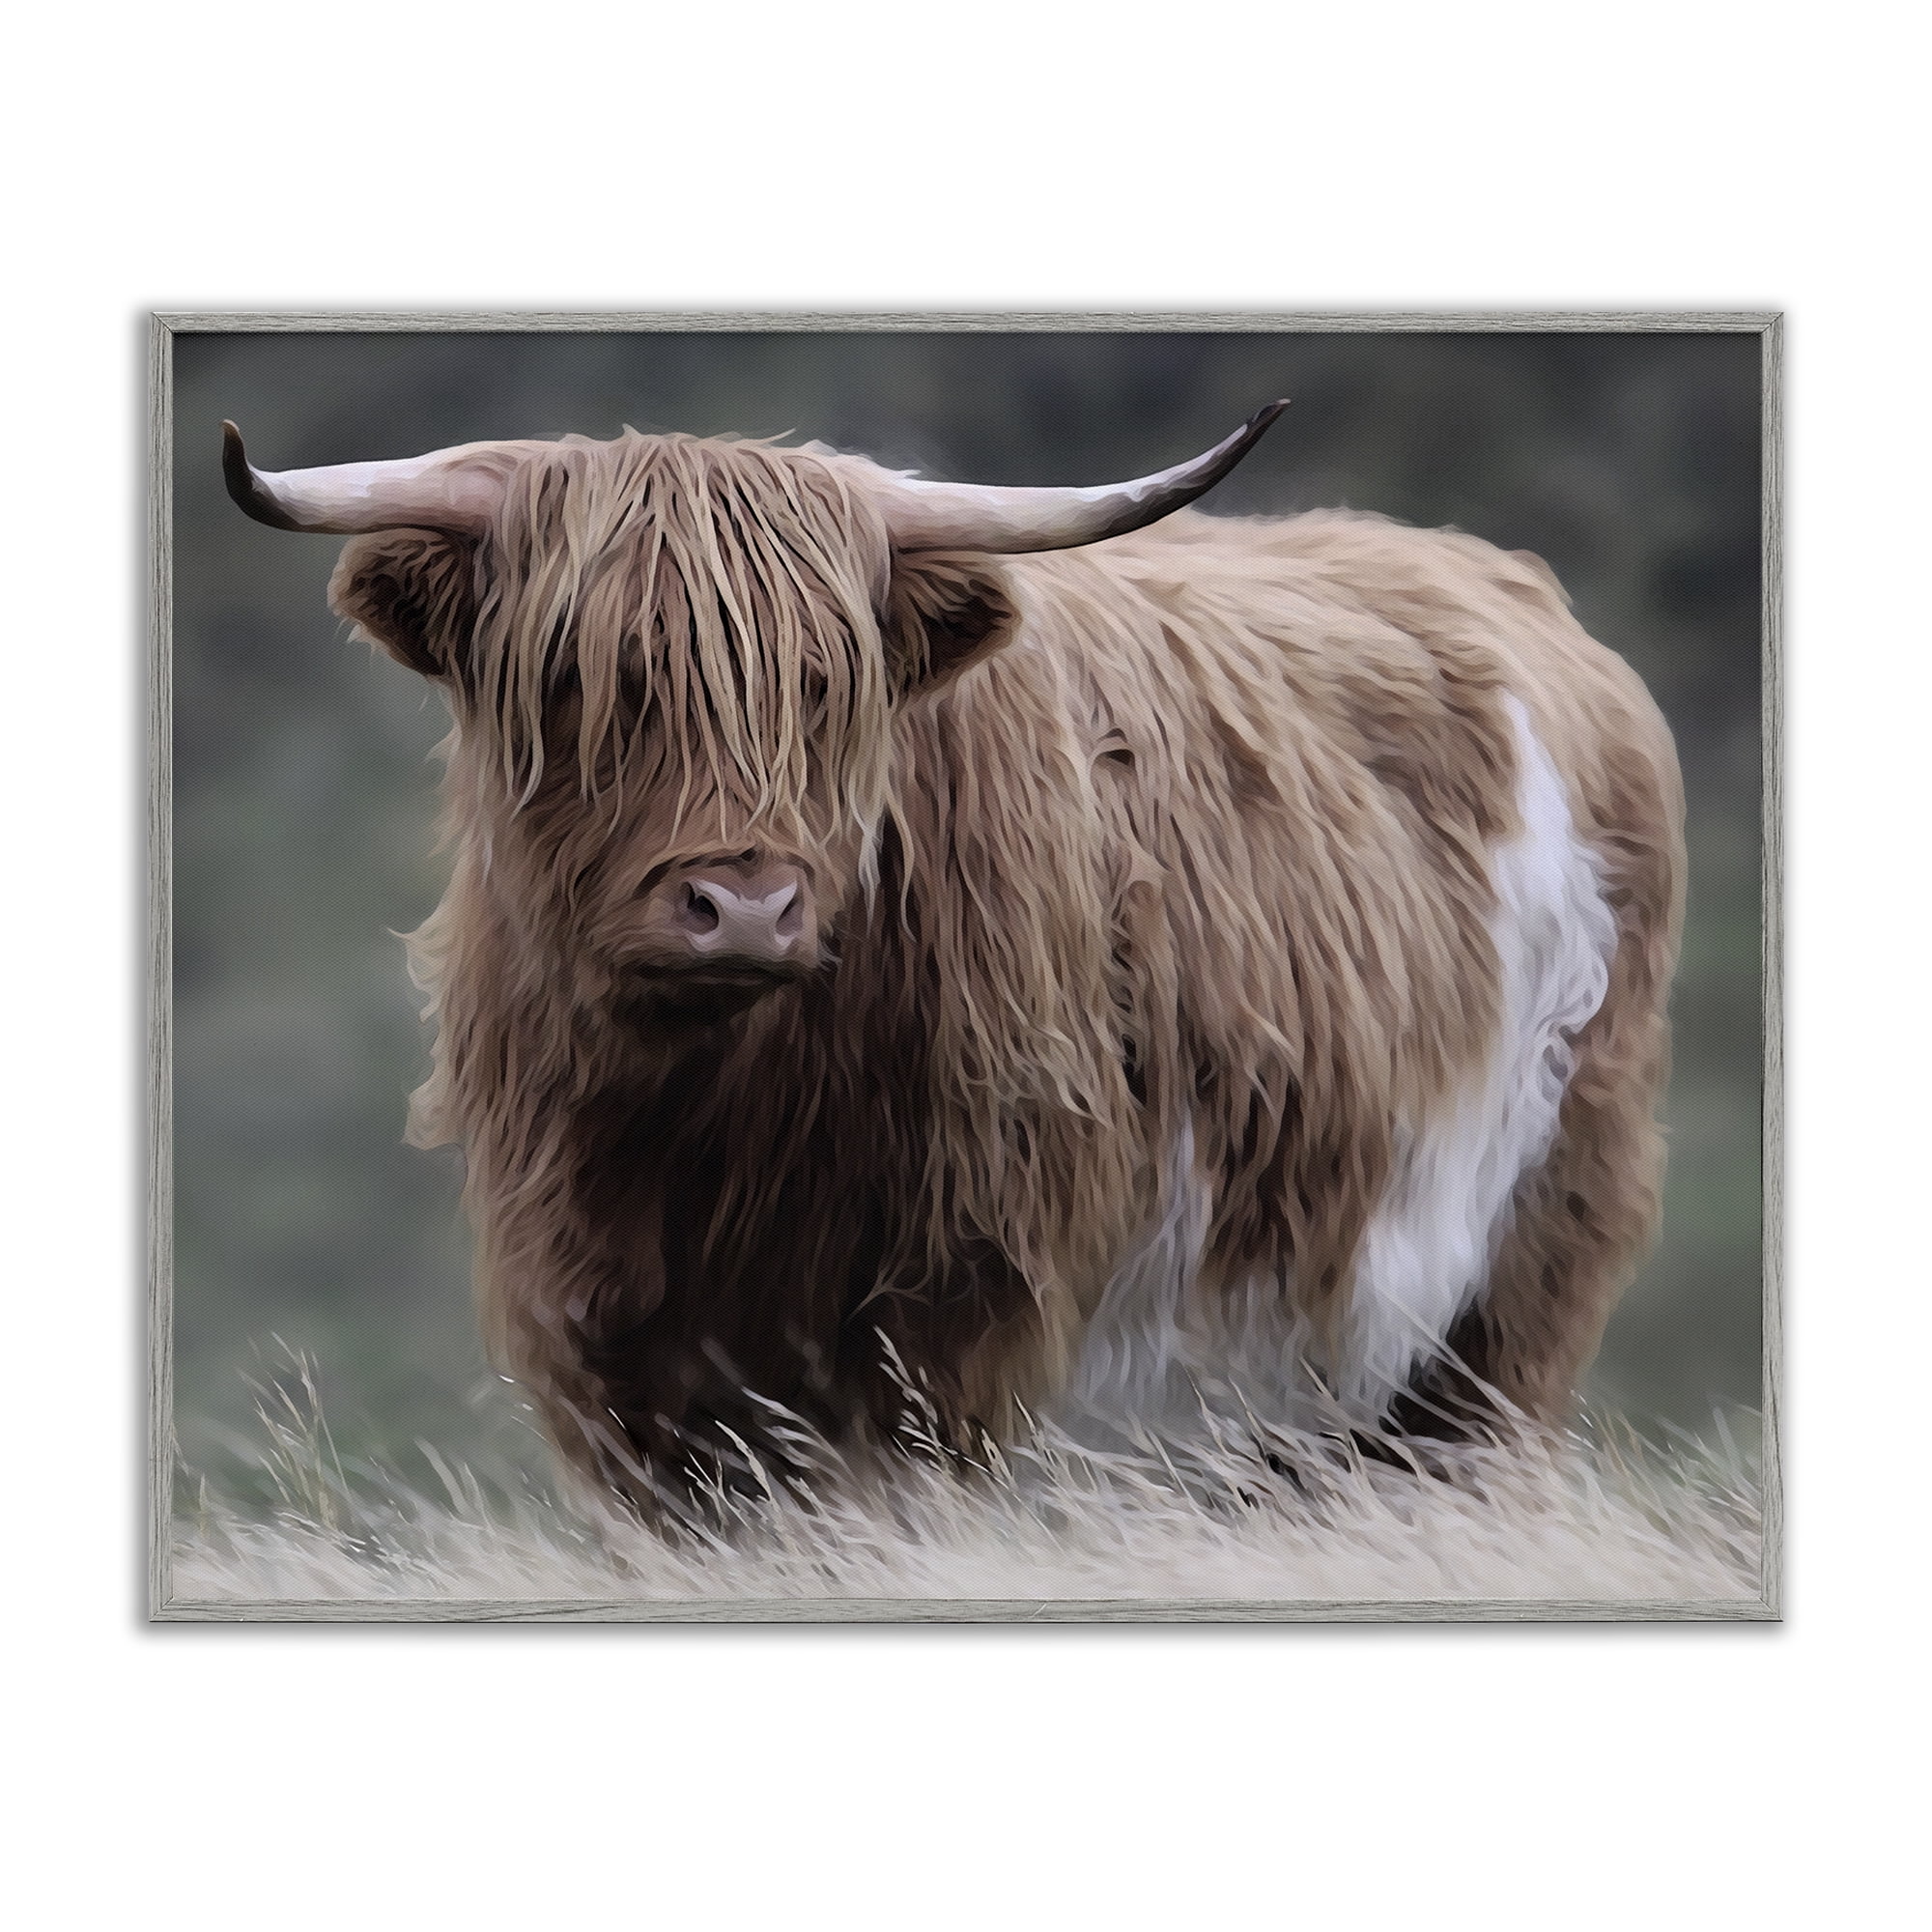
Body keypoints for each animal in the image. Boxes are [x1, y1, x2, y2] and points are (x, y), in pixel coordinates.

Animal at [222, 406, 1684, 1505]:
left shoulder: (954, 1324)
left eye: (827, 685)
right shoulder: (610, 1347)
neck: (709, 1125)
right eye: (587, 677)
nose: (742, 905)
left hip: (1508, 1286)